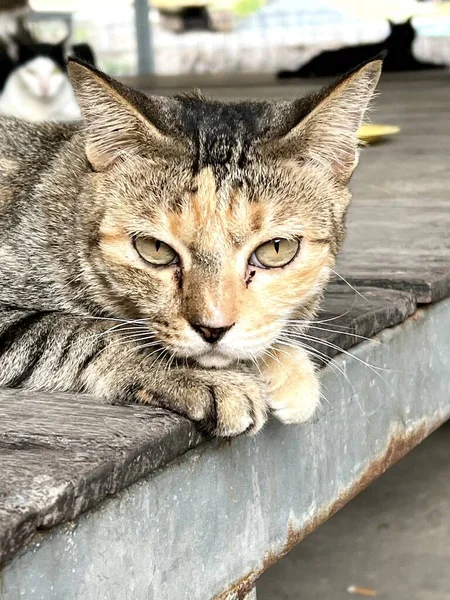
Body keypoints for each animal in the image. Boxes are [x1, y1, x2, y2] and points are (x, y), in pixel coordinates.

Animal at [0, 58, 382, 438]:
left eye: (276, 250)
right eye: (154, 248)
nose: (213, 329)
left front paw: (284, 364)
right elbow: (83, 331)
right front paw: (206, 378)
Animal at [278, 19, 446, 78]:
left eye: (406, 32)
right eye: (398, 33)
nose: (402, 39)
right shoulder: (407, 64)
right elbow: (426, 63)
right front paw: (441, 64)